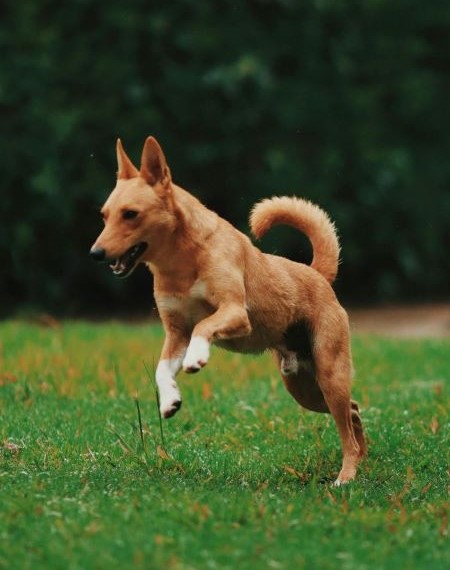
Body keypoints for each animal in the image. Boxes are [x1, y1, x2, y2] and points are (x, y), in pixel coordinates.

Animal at [90, 135, 366, 482]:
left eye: (130, 214)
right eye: (104, 215)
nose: (95, 253)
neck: (181, 263)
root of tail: (316, 274)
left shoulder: (234, 312)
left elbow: (204, 326)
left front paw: (197, 357)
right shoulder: (175, 333)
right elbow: (162, 367)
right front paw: (170, 400)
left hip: (330, 374)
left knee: (347, 428)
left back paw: (346, 477)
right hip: (303, 387)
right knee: (354, 413)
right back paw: (362, 461)